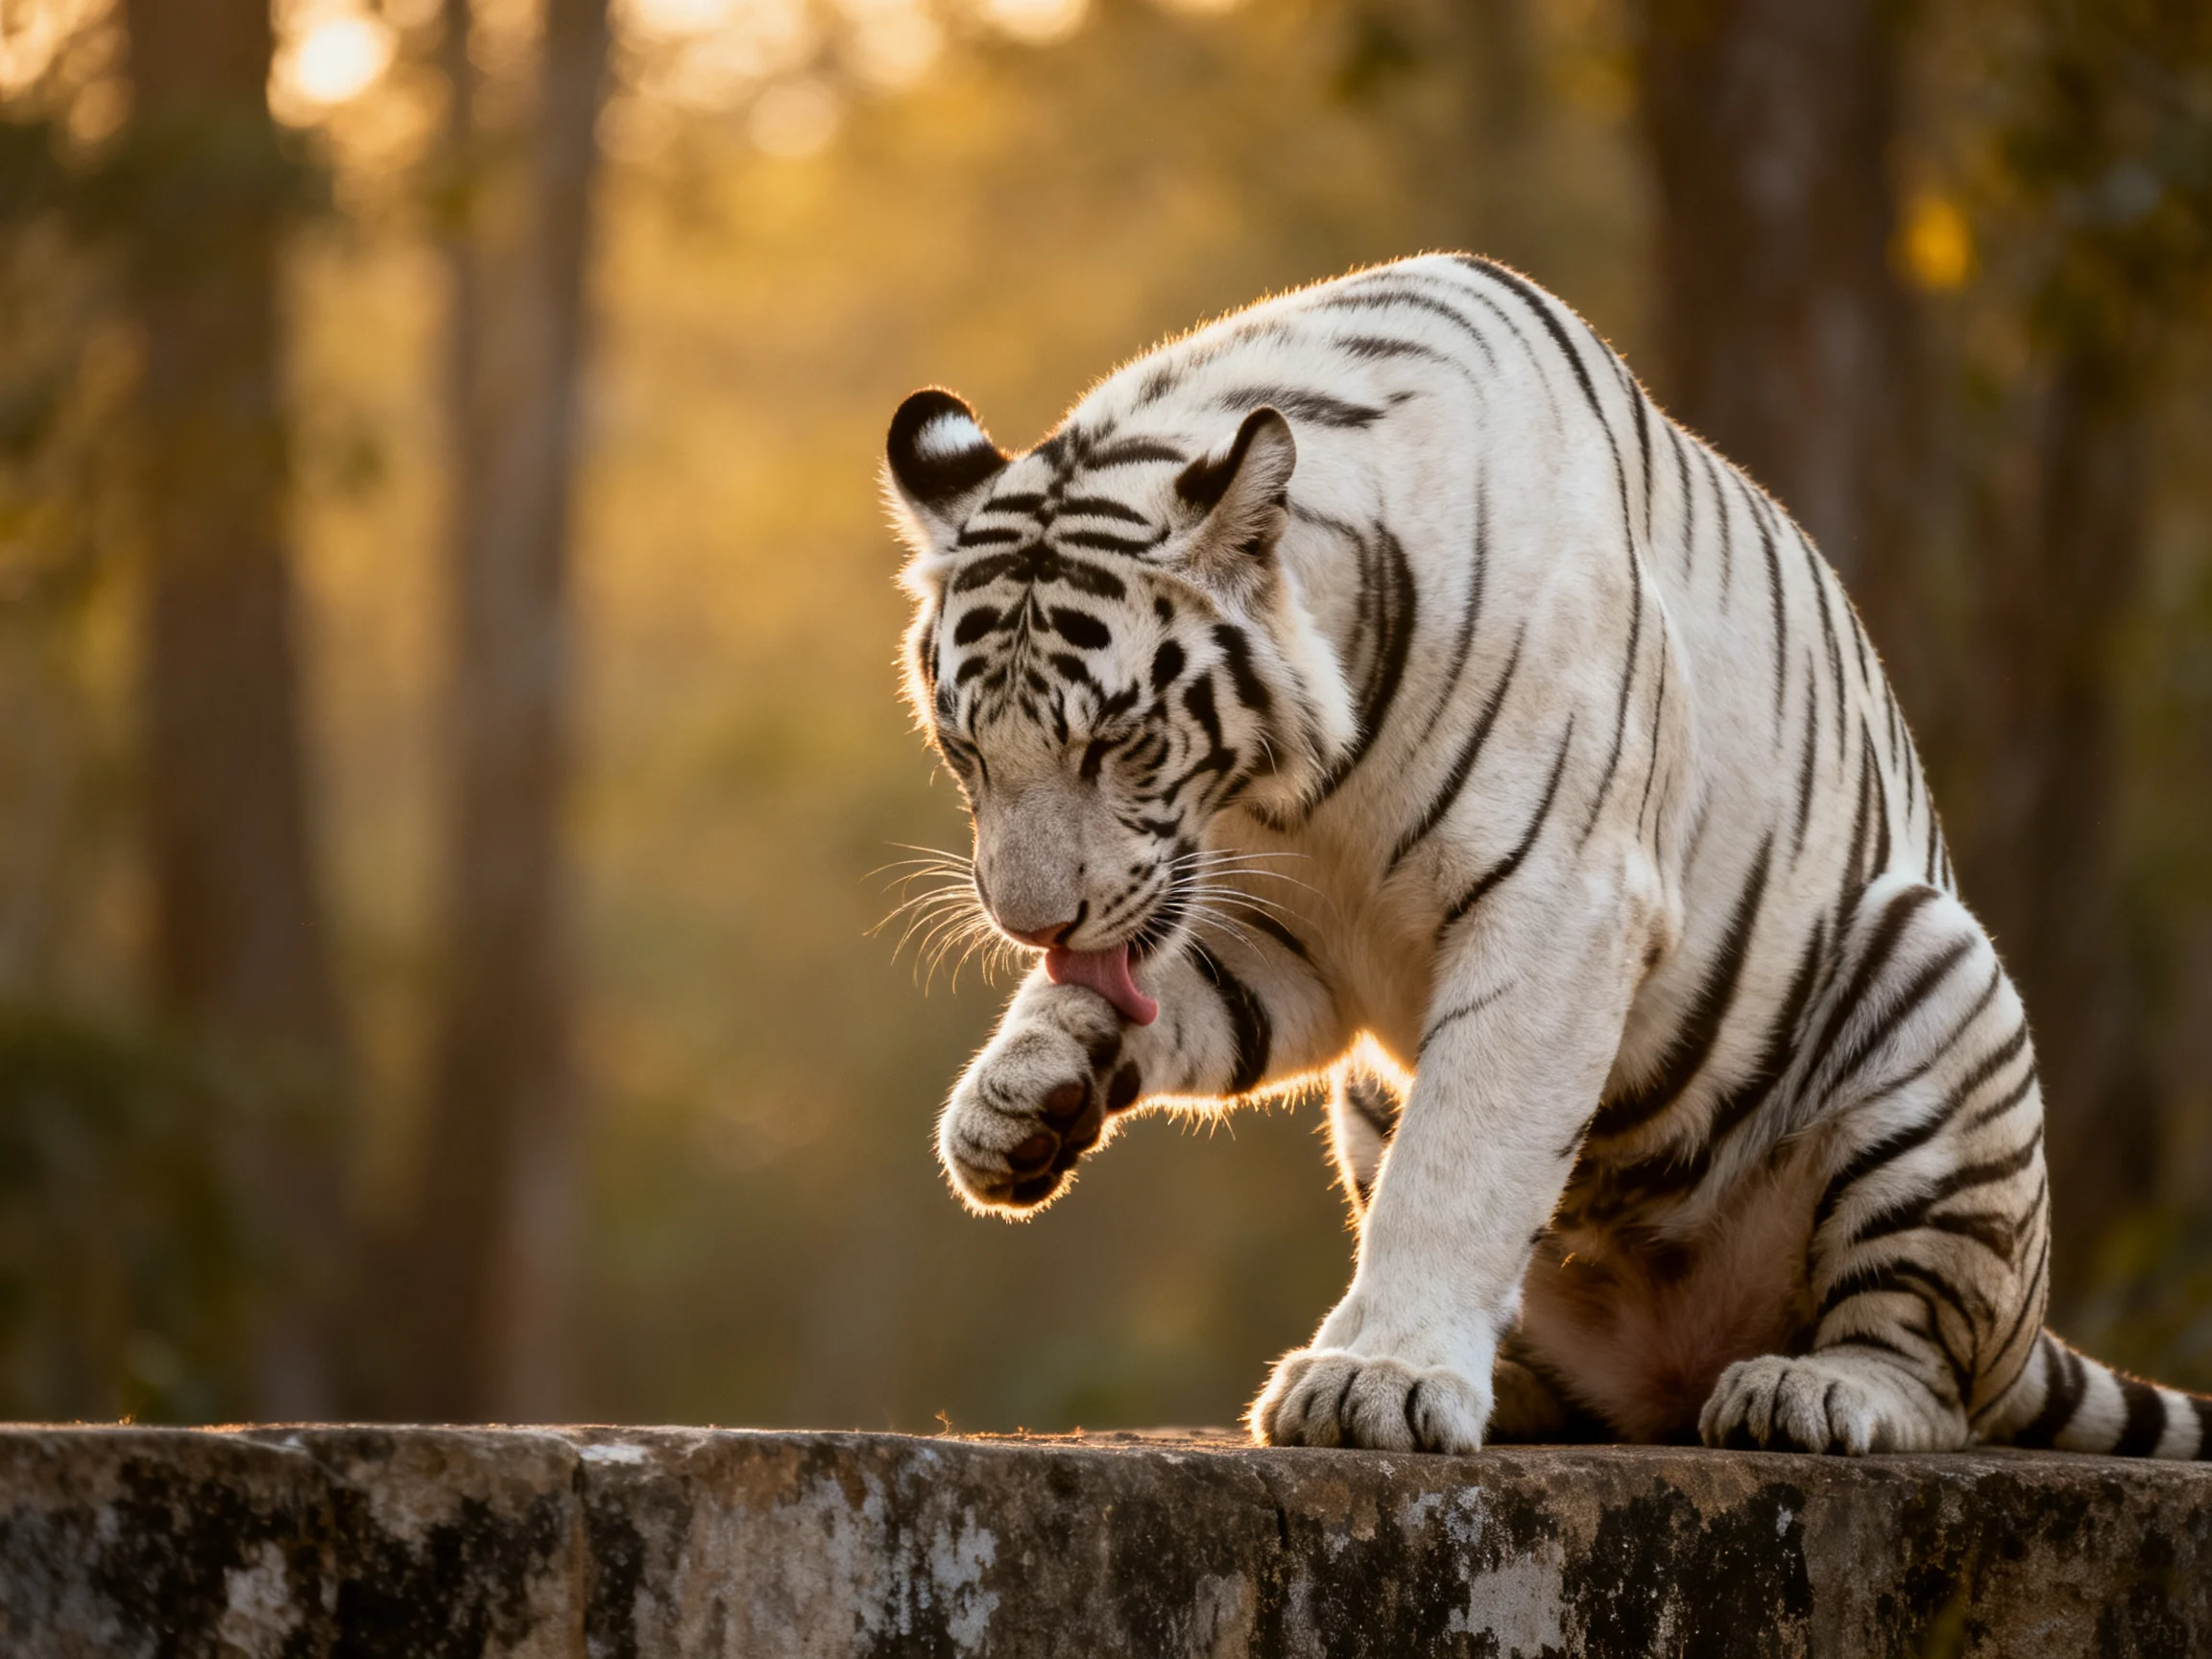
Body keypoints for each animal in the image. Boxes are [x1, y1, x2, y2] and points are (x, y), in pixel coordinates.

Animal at [881, 253, 2212, 1459]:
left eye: (1114, 742)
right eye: (965, 749)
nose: (1031, 924)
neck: (1302, 789)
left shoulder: (1561, 903)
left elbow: (1463, 1160)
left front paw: (1379, 1378)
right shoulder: (1290, 943)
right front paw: (1016, 1101)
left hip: (1936, 979)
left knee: (1925, 1368)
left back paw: (1815, 1393)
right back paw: (1516, 1389)